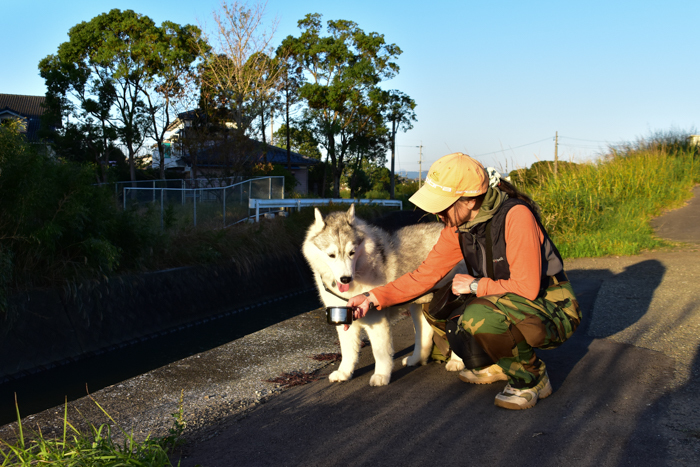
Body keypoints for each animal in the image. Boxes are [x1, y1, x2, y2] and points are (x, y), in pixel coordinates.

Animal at [302, 206, 462, 388]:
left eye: (352, 252)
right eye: (331, 255)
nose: (345, 279)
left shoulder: (376, 320)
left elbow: (380, 352)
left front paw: (381, 375)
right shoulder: (343, 318)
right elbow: (348, 351)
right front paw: (344, 372)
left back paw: (457, 362)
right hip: (418, 304)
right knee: (425, 334)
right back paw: (416, 359)